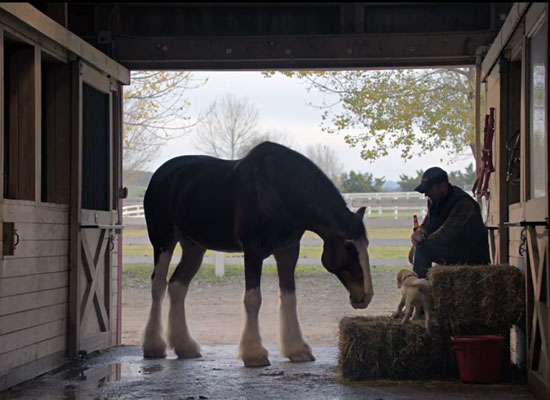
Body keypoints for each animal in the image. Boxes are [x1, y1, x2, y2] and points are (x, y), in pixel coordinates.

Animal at [142, 141, 376, 366]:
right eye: (348, 246)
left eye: (366, 244)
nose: (365, 296)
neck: (277, 191)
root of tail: (161, 174)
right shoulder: (252, 252)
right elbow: (253, 298)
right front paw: (254, 354)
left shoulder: (288, 251)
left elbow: (289, 296)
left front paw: (297, 350)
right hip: (163, 242)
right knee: (158, 285)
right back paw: (154, 346)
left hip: (193, 247)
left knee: (177, 286)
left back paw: (185, 347)